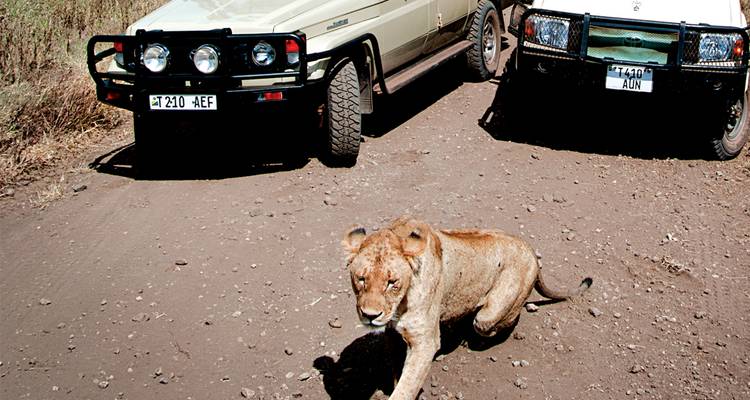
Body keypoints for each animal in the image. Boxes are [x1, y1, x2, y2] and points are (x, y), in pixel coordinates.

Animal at [342, 216, 592, 400]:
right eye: (361, 279)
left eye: (391, 282)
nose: (370, 316)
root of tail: (530, 249)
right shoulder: (394, 333)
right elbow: (398, 371)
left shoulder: (424, 342)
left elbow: (407, 385)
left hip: (491, 314)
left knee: (496, 320)